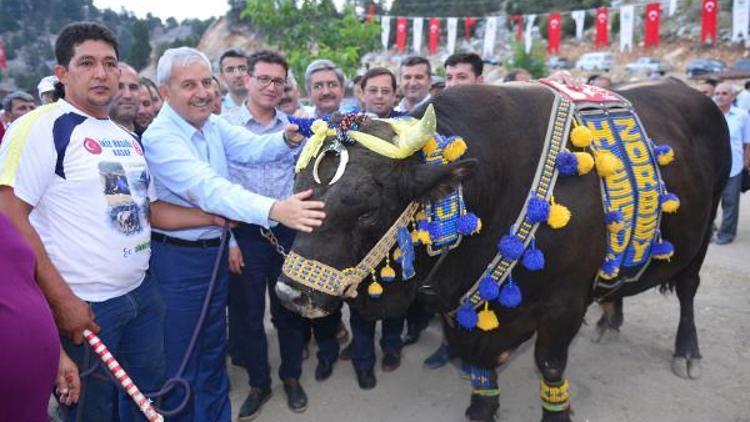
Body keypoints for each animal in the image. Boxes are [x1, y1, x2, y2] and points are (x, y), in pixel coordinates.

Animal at [276, 78, 728, 418]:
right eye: (298, 189)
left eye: (367, 211)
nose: (289, 294)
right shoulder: (463, 311)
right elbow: (478, 366)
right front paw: (481, 408)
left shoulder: (564, 305)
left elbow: (550, 366)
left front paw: (556, 412)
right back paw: (609, 320)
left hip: (705, 227)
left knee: (688, 289)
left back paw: (687, 351)